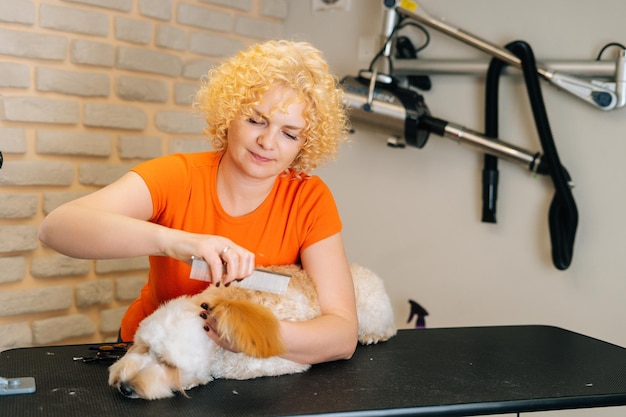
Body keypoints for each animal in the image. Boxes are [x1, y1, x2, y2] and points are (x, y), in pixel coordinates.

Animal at [107, 264, 394, 400]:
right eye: (145, 347)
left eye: (168, 364)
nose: (125, 387)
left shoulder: (281, 361)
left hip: (370, 314)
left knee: (387, 330)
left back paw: (372, 336)